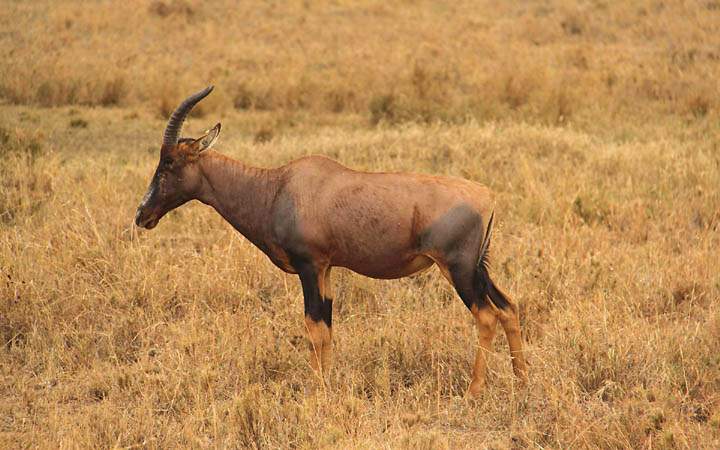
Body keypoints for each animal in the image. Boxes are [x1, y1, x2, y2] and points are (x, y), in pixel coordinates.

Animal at [136, 86, 528, 396]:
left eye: (168, 162)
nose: (142, 215)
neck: (279, 186)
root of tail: (486, 196)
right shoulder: (325, 268)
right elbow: (326, 324)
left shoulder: (309, 266)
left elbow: (313, 326)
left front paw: (317, 390)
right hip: (478, 268)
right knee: (509, 307)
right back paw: (521, 381)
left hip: (457, 269)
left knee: (486, 316)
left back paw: (474, 391)